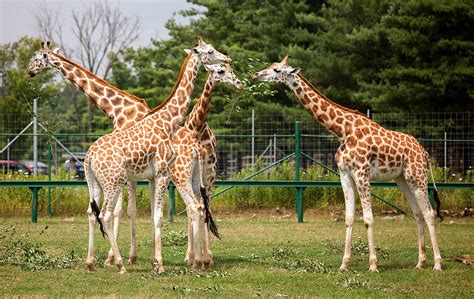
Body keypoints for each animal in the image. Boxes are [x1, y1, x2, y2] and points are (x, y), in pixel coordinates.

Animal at [27, 41, 150, 266]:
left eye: (38, 57)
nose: (29, 71)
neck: (118, 111)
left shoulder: (125, 170)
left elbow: (122, 211)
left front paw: (117, 257)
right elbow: (125, 211)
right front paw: (121, 257)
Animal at [85, 37, 231, 274]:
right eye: (210, 51)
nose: (227, 58)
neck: (168, 120)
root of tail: (88, 156)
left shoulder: (153, 177)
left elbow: (155, 215)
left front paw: (155, 261)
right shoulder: (162, 173)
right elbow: (159, 217)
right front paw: (160, 264)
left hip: (95, 183)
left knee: (92, 213)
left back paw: (90, 263)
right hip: (114, 181)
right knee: (105, 215)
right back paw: (120, 264)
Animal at [172, 62, 243, 268]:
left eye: (232, 69)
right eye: (220, 70)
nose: (239, 83)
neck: (198, 127)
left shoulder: (209, 176)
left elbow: (206, 208)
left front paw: (207, 257)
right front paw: (196, 256)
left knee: (197, 207)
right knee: (192, 209)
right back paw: (190, 255)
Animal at [254, 55, 442, 274]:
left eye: (277, 70)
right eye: (270, 65)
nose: (256, 75)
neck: (342, 131)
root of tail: (424, 152)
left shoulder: (362, 172)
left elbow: (368, 218)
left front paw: (373, 264)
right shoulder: (344, 174)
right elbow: (349, 218)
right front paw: (344, 264)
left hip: (417, 175)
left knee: (429, 213)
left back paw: (437, 263)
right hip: (402, 179)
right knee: (418, 213)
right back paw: (420, 262)